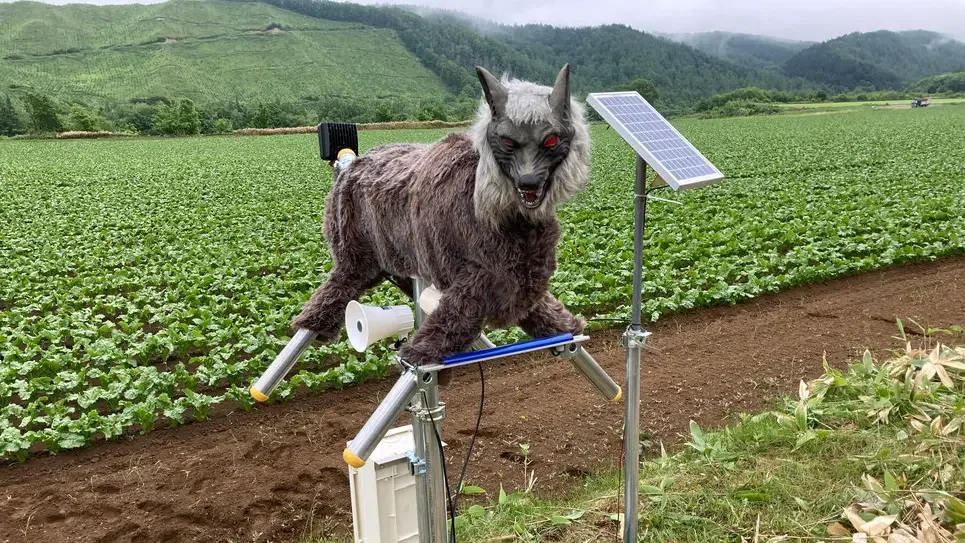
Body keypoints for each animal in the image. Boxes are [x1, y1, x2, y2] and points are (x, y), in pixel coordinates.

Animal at [292, 64, 591, 382]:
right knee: (337, 286)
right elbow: (452, 321)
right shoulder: (475, 280)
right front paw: (418, 354)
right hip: (354, 254)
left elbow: (541, 310)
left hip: (397, 261)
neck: (507, 220)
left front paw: (567, 327)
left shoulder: (519, 280)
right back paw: (313, 320)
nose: (529, 181)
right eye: (509, 141)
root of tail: (349, 165)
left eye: (551, 140)